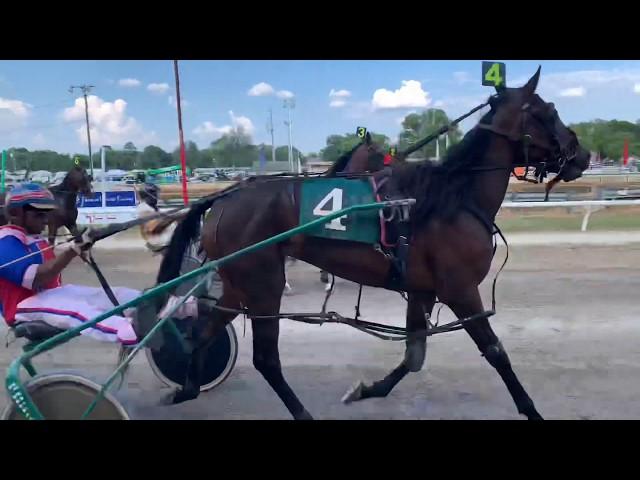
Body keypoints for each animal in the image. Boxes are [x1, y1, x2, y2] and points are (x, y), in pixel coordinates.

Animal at [158, 68, 588, 420]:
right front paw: (532, 410)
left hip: (238, 281)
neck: (454, 199)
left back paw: (186, 388)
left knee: (205, 330)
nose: (581, 155)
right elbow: (496, 352)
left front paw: (366, 390)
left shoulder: (423, 289)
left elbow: (414, 355)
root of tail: (225, 197)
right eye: (548, 111)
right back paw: (299, 412)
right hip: (263, 282)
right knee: (266, 358)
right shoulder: (460, 290)